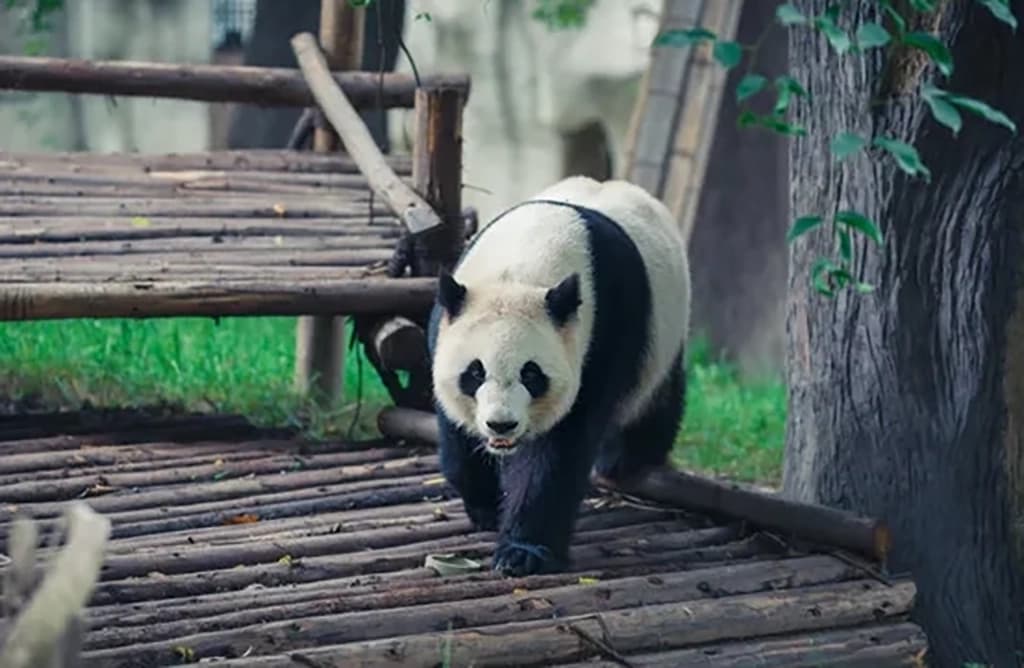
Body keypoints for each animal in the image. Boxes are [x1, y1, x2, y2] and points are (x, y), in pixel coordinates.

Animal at [426, 175, 691, 576]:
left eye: (531, 374)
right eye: (474, 372)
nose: (501, 424)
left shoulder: (601, 333)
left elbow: (560, 448)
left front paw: (522, 552)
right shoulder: (446, 324)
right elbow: (455, 434)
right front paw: (486, 506)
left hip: (664, 334)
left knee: (654, 400)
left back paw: (629, 456)